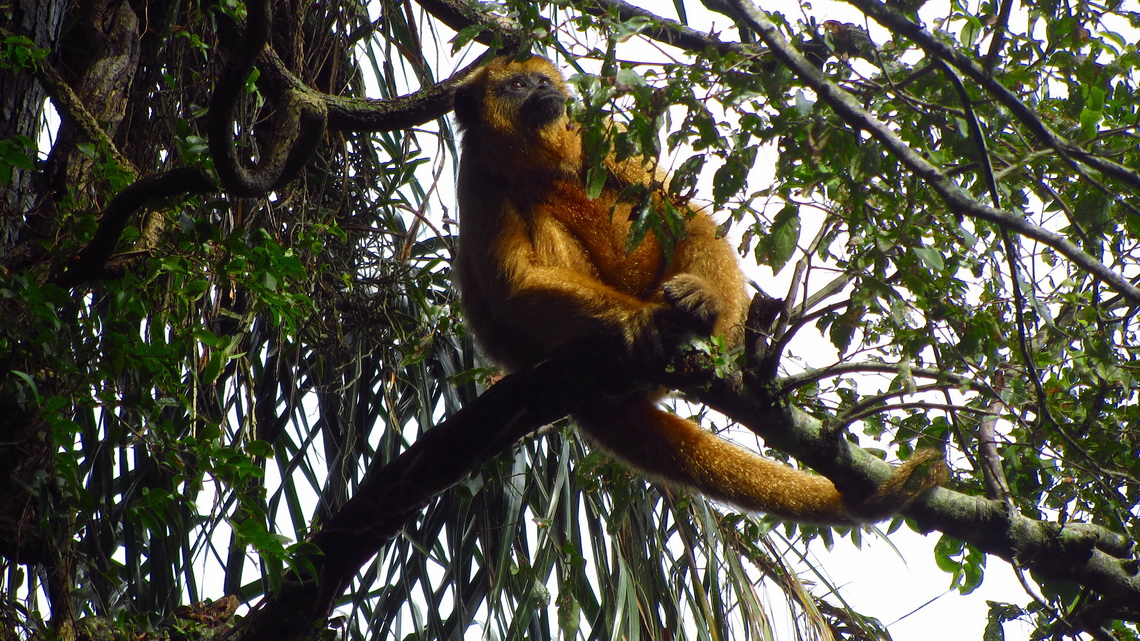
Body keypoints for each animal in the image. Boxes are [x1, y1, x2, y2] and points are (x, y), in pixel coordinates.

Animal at [453, 56, 943, 524]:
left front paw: (709, 306)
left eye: (542, 79)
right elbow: (514, 283)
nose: (545, 90)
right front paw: (636, 319)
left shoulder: (599, 132)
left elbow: (683, 211)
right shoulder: (476, 177)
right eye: (517, 85)